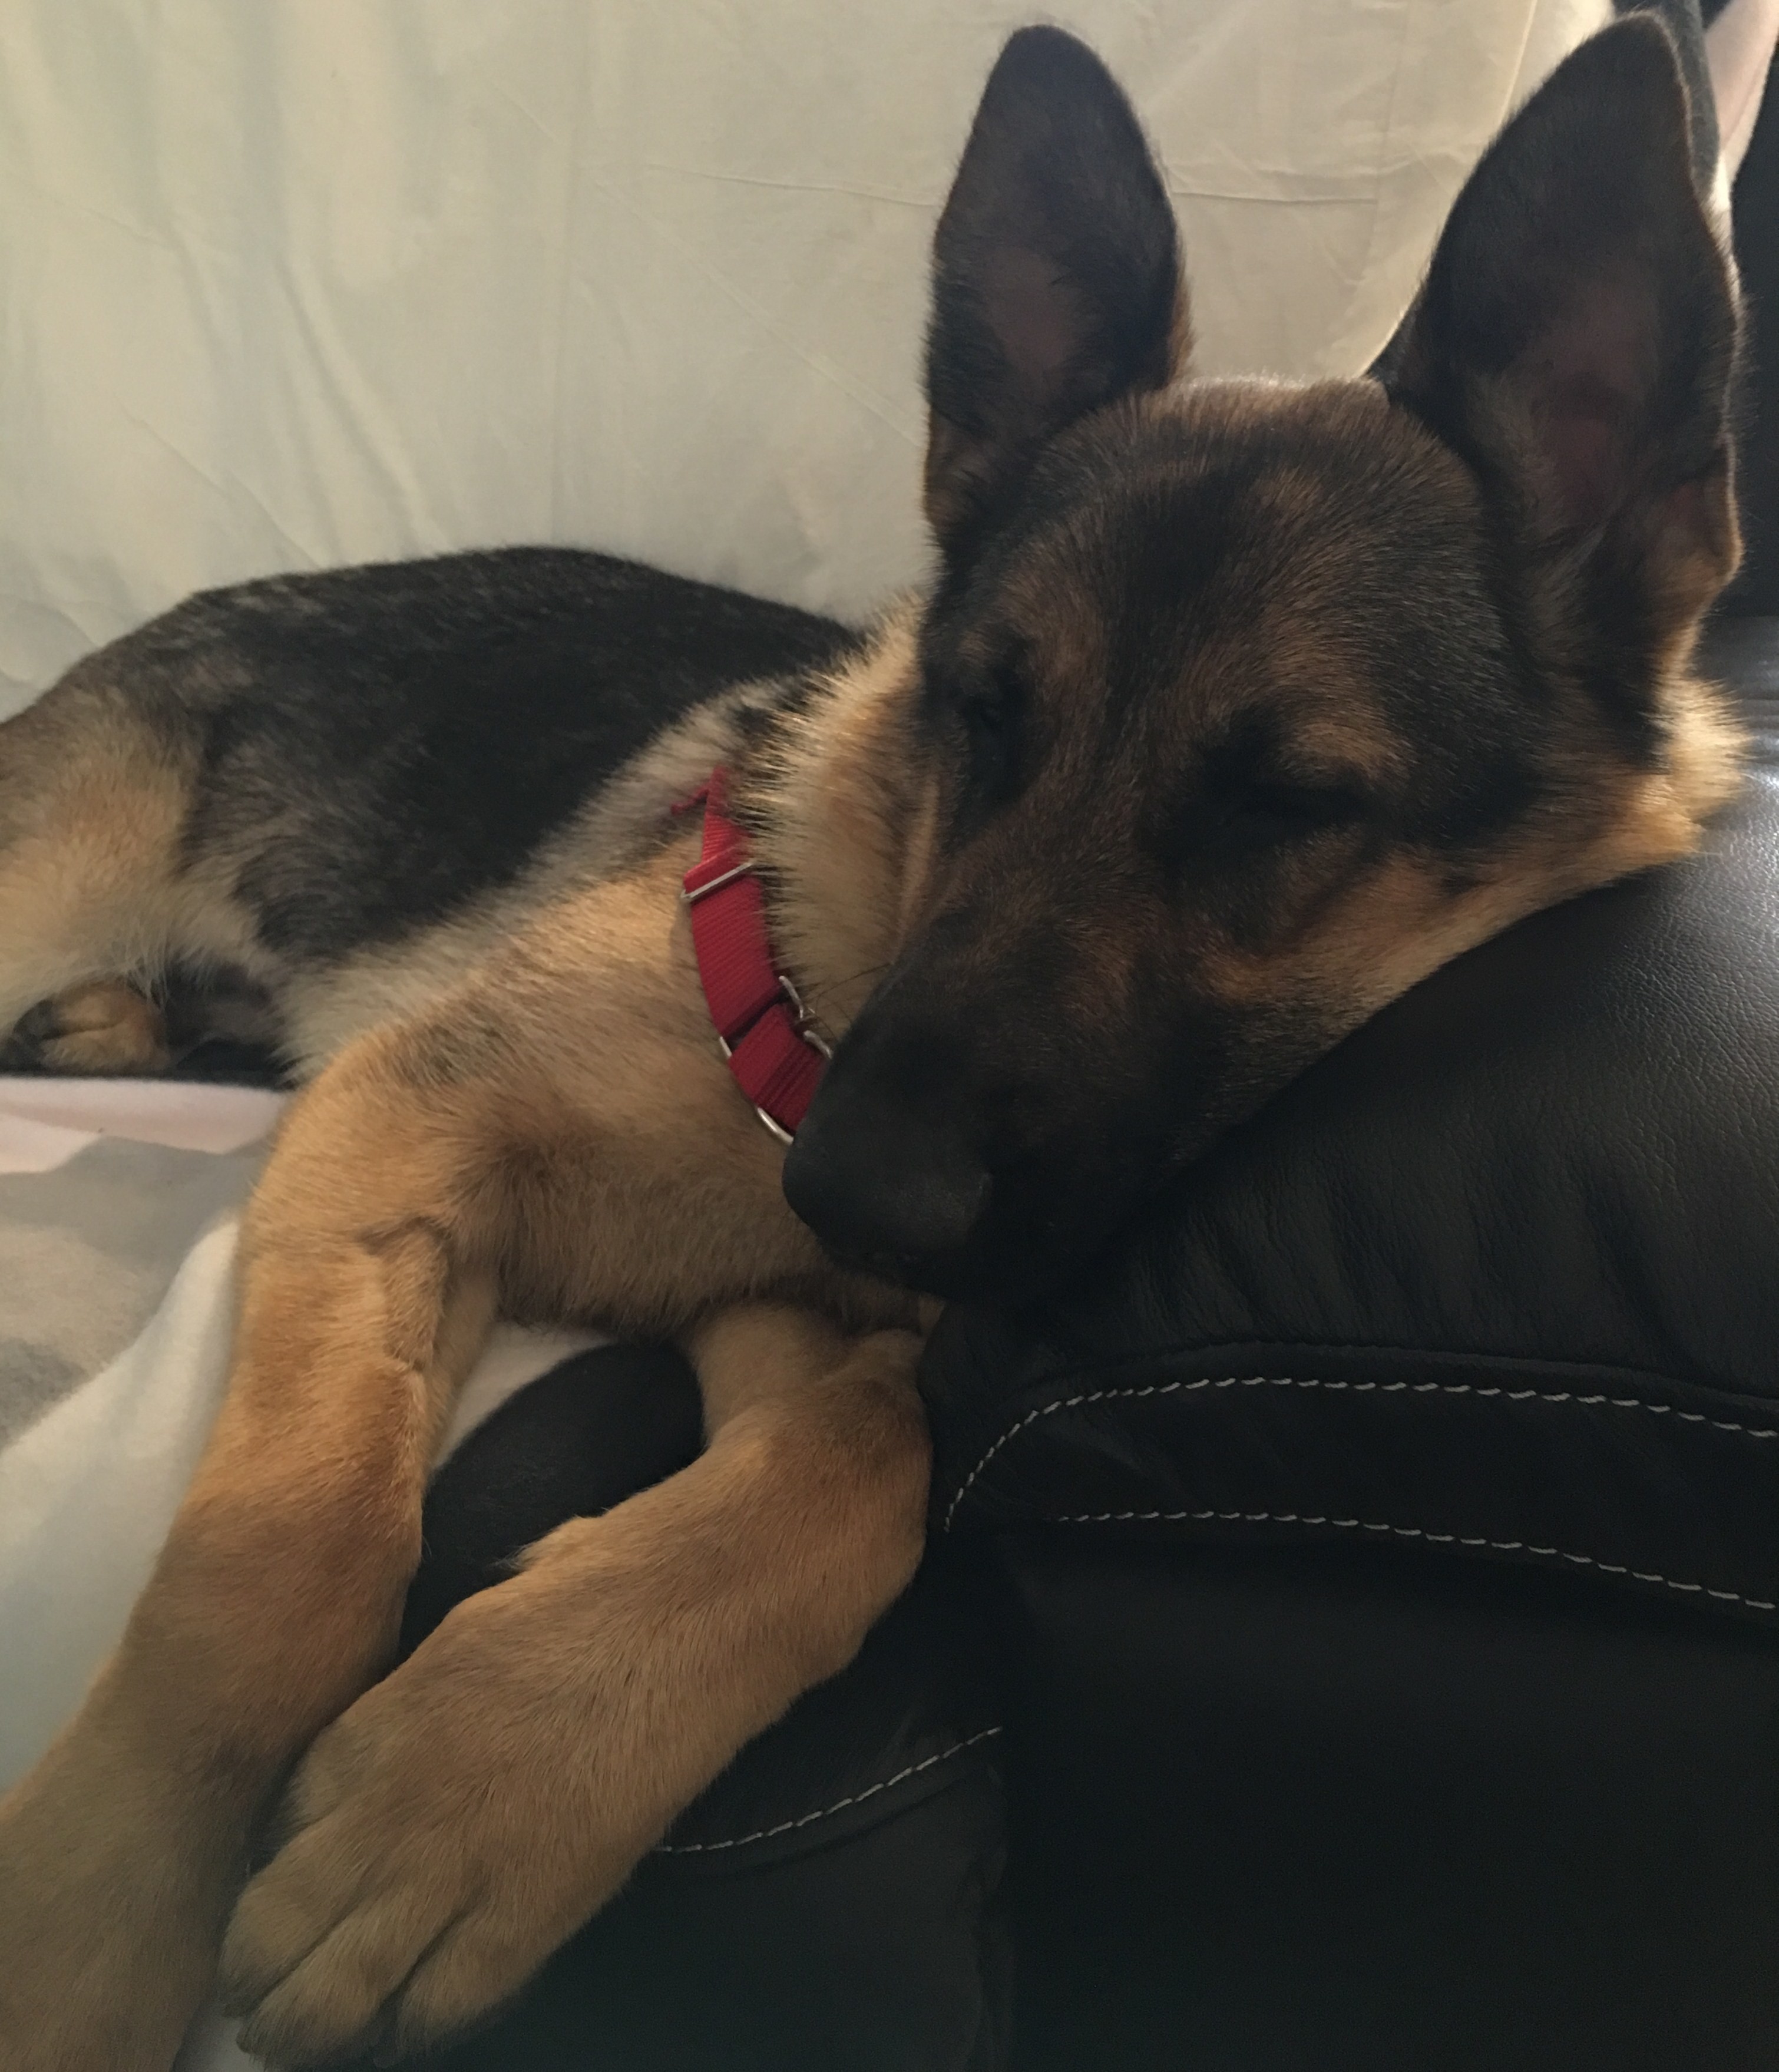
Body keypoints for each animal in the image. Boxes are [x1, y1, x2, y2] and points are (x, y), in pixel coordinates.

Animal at [0, 17, 1745, 2069]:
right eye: (978, 713)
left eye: (1286, 805)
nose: (845, 1178)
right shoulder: (394, 1128)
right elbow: (288, 1547)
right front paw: (93, 1915)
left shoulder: (775, 1314)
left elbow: (868, 1453)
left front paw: (485, 1772)